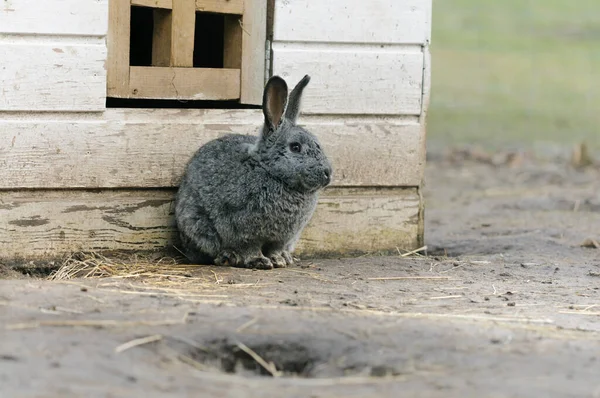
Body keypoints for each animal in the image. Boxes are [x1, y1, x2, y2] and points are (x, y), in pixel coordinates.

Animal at [173, 75, 332, 270]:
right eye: (295, 147)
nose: (327, 173)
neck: (268, 169)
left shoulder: (282, 238)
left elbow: (275, 249)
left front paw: (278, 260)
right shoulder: (243, 230)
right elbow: (250, 248)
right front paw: (260, 262)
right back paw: (227, 257)